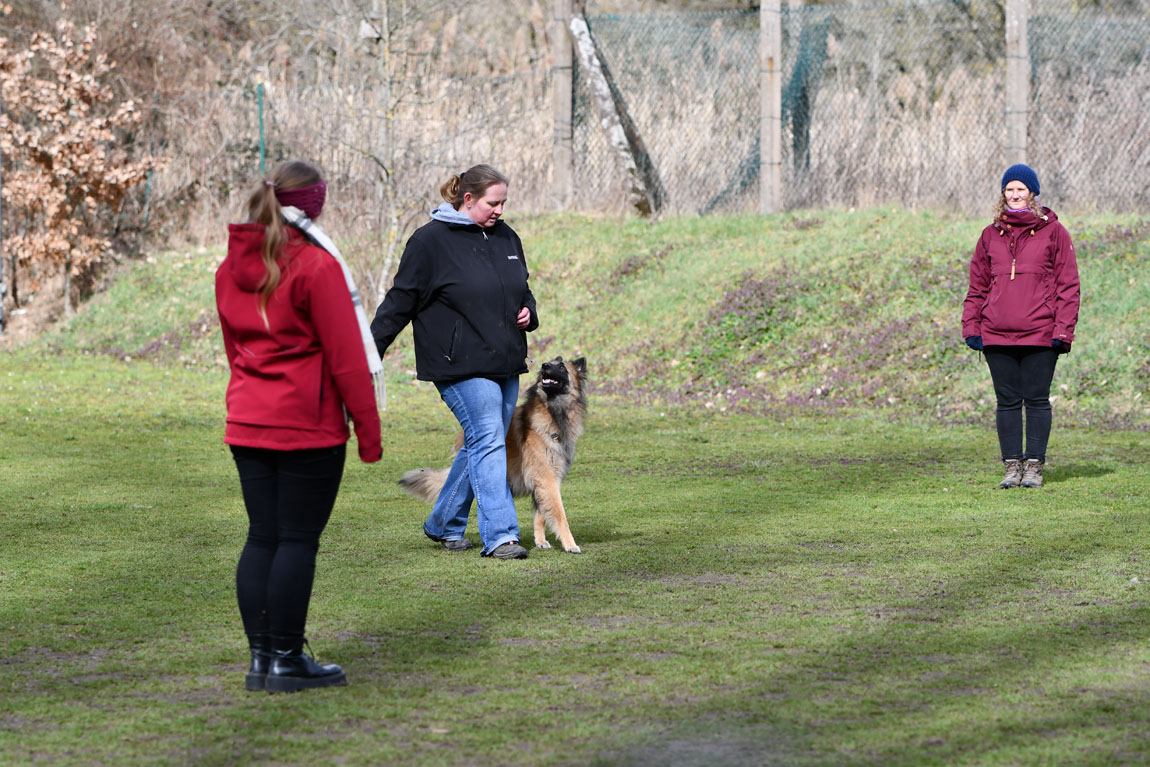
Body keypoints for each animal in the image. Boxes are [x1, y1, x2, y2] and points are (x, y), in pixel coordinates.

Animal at [397, 356, 593, 554]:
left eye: (560, 366)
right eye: (549, 363)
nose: (544, 365)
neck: (552, 411)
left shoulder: (544, 481)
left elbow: (541, 515)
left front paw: (540, 541)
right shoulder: (547, 479)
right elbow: (560, 515)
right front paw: (570, 544)